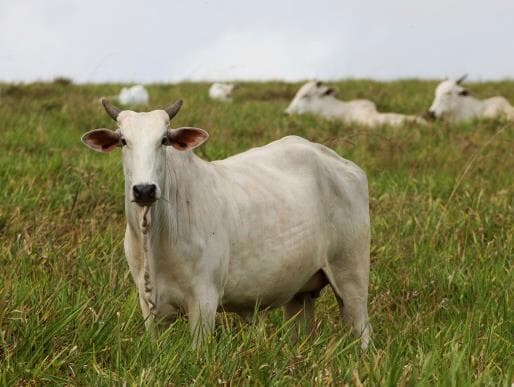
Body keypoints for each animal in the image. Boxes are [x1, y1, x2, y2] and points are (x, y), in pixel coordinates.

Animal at [81, 98, 368, 350]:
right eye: (123, 140)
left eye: (164, 140)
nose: (144, 190)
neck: (154, 235)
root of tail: (339, 161)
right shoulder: (148, 304)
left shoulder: (204, 300)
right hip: (300, 293)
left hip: (351, 278)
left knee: (362, 332)